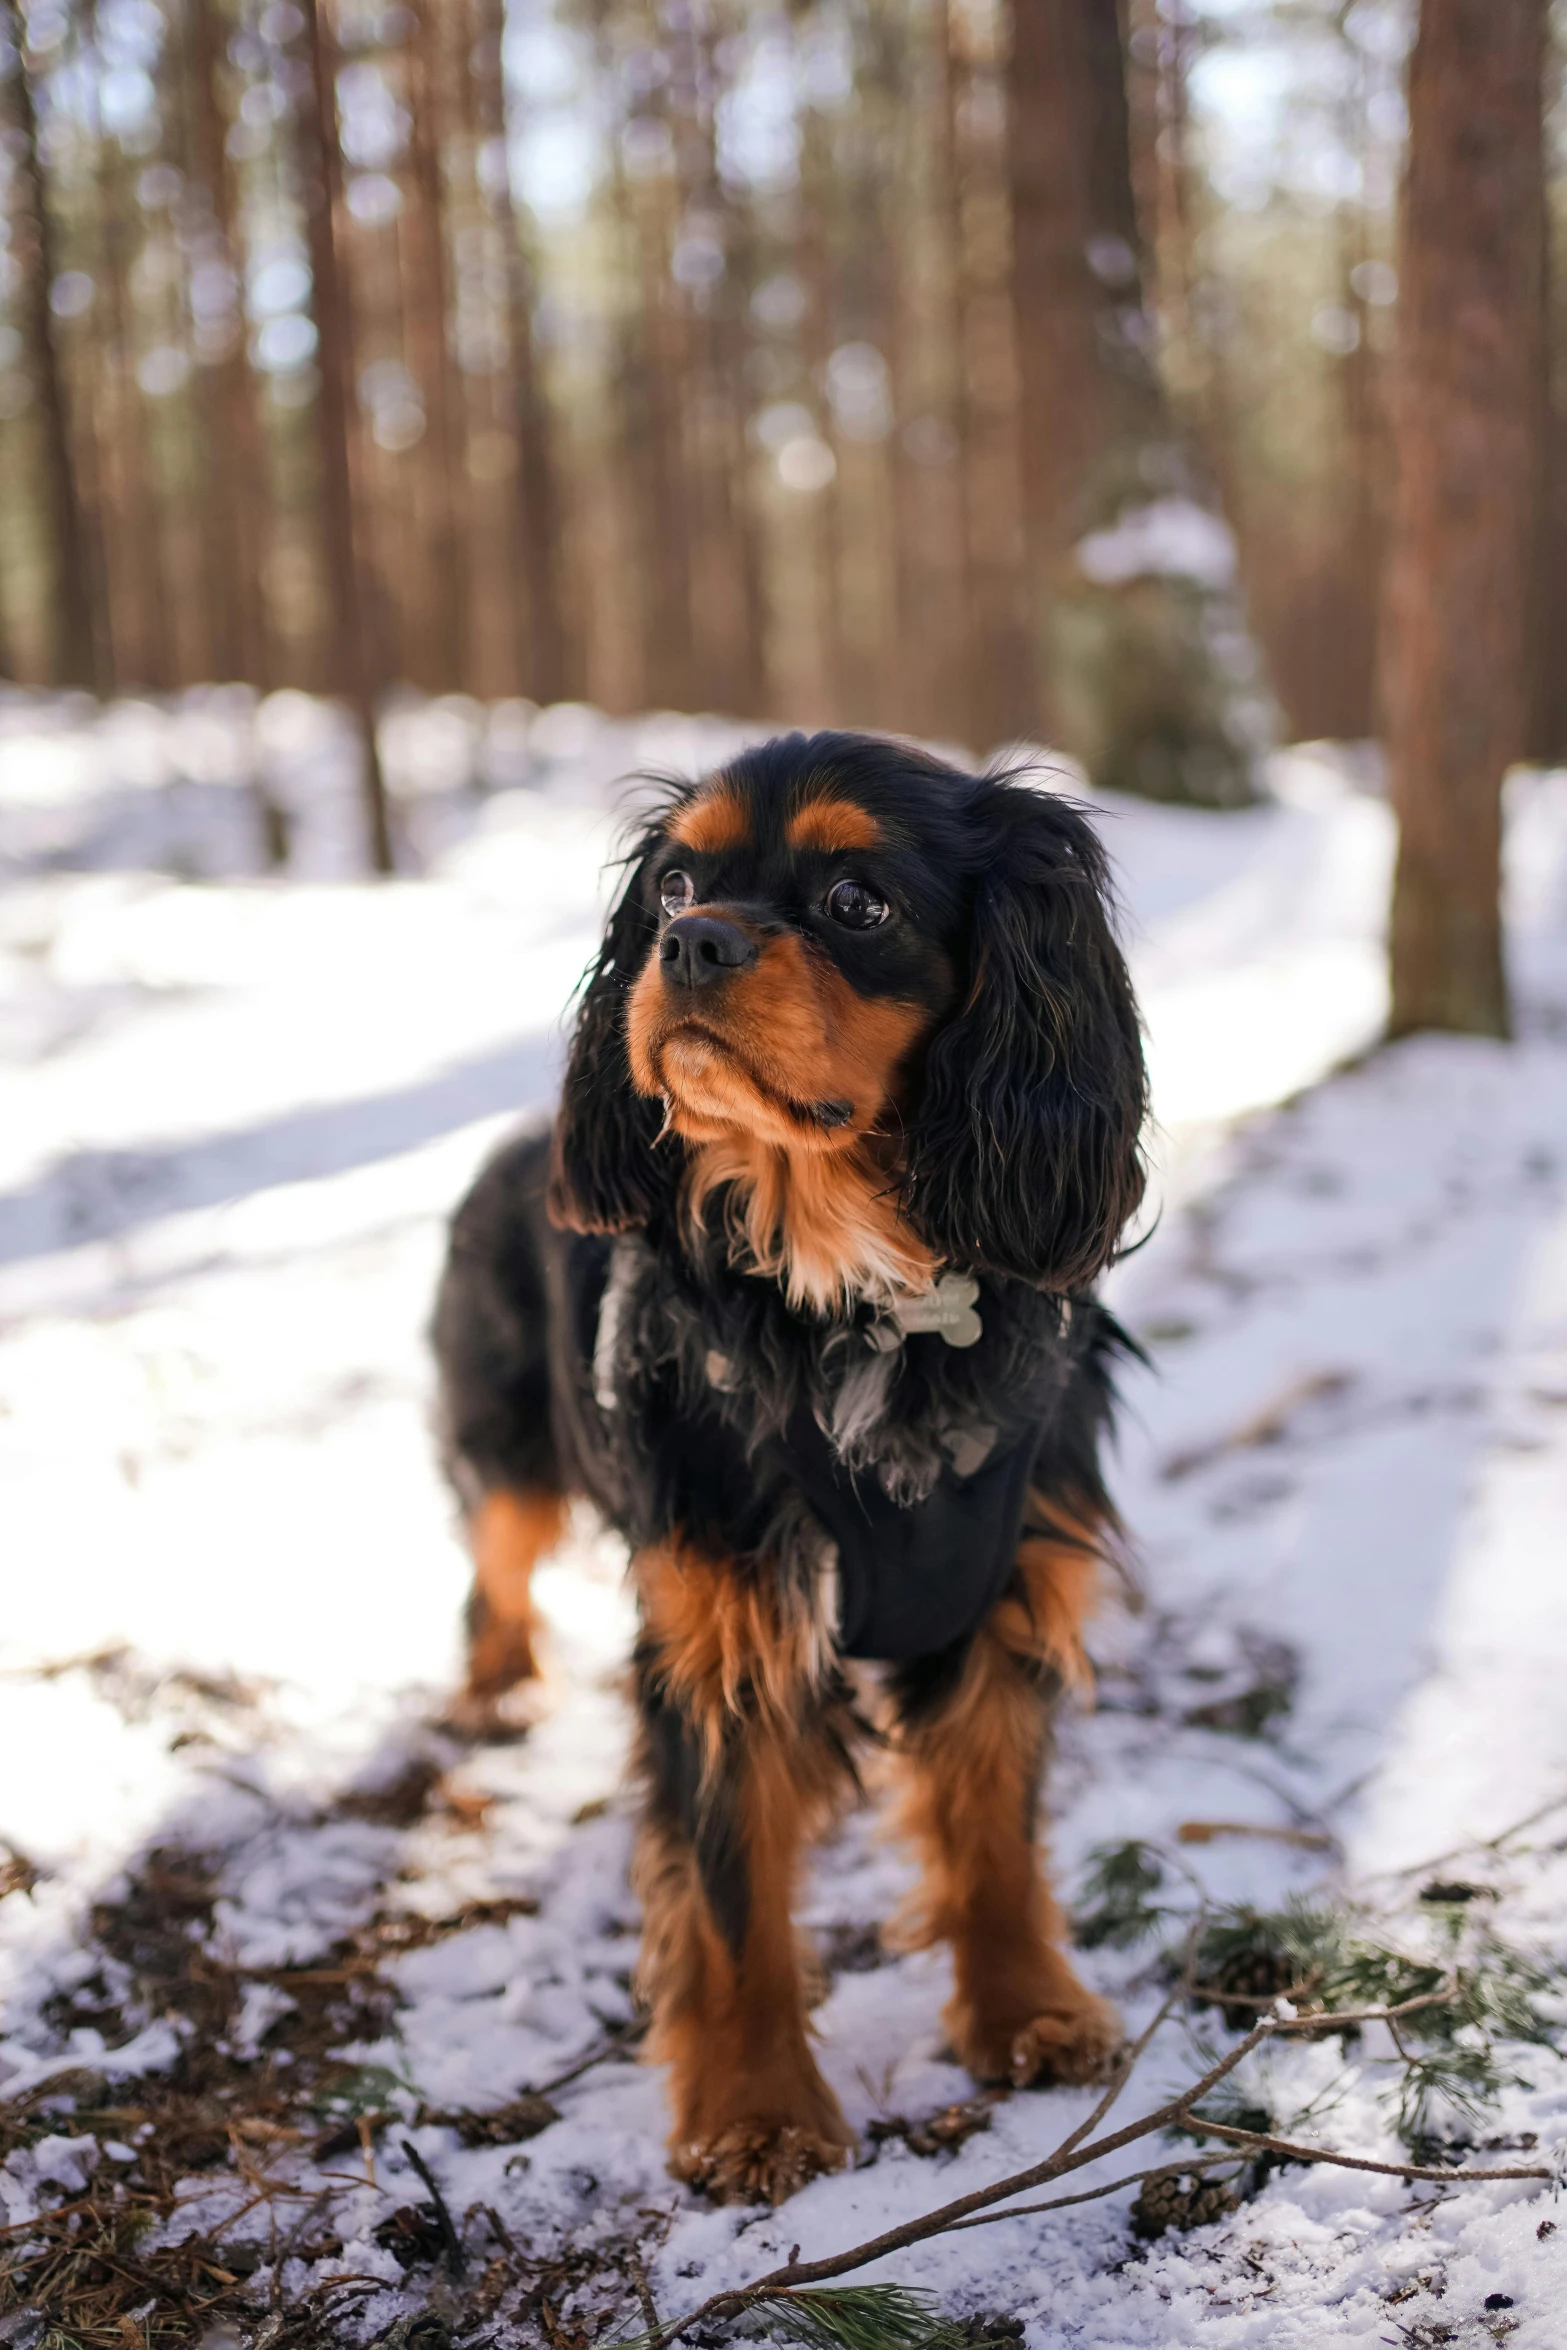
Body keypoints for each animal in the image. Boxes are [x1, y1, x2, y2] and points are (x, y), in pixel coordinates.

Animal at [434, 728, 1146, 2199]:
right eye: (674, 883)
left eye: (855, 901)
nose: (692, 941)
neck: (856, 1288)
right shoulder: (724, 1630)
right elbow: (731, 1900)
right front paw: (755, 2115)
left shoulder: (1001, 1593)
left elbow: (993, 1832)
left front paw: (1028, 2012)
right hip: (509, 1445)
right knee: (494, 1565)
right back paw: (493, 1692)